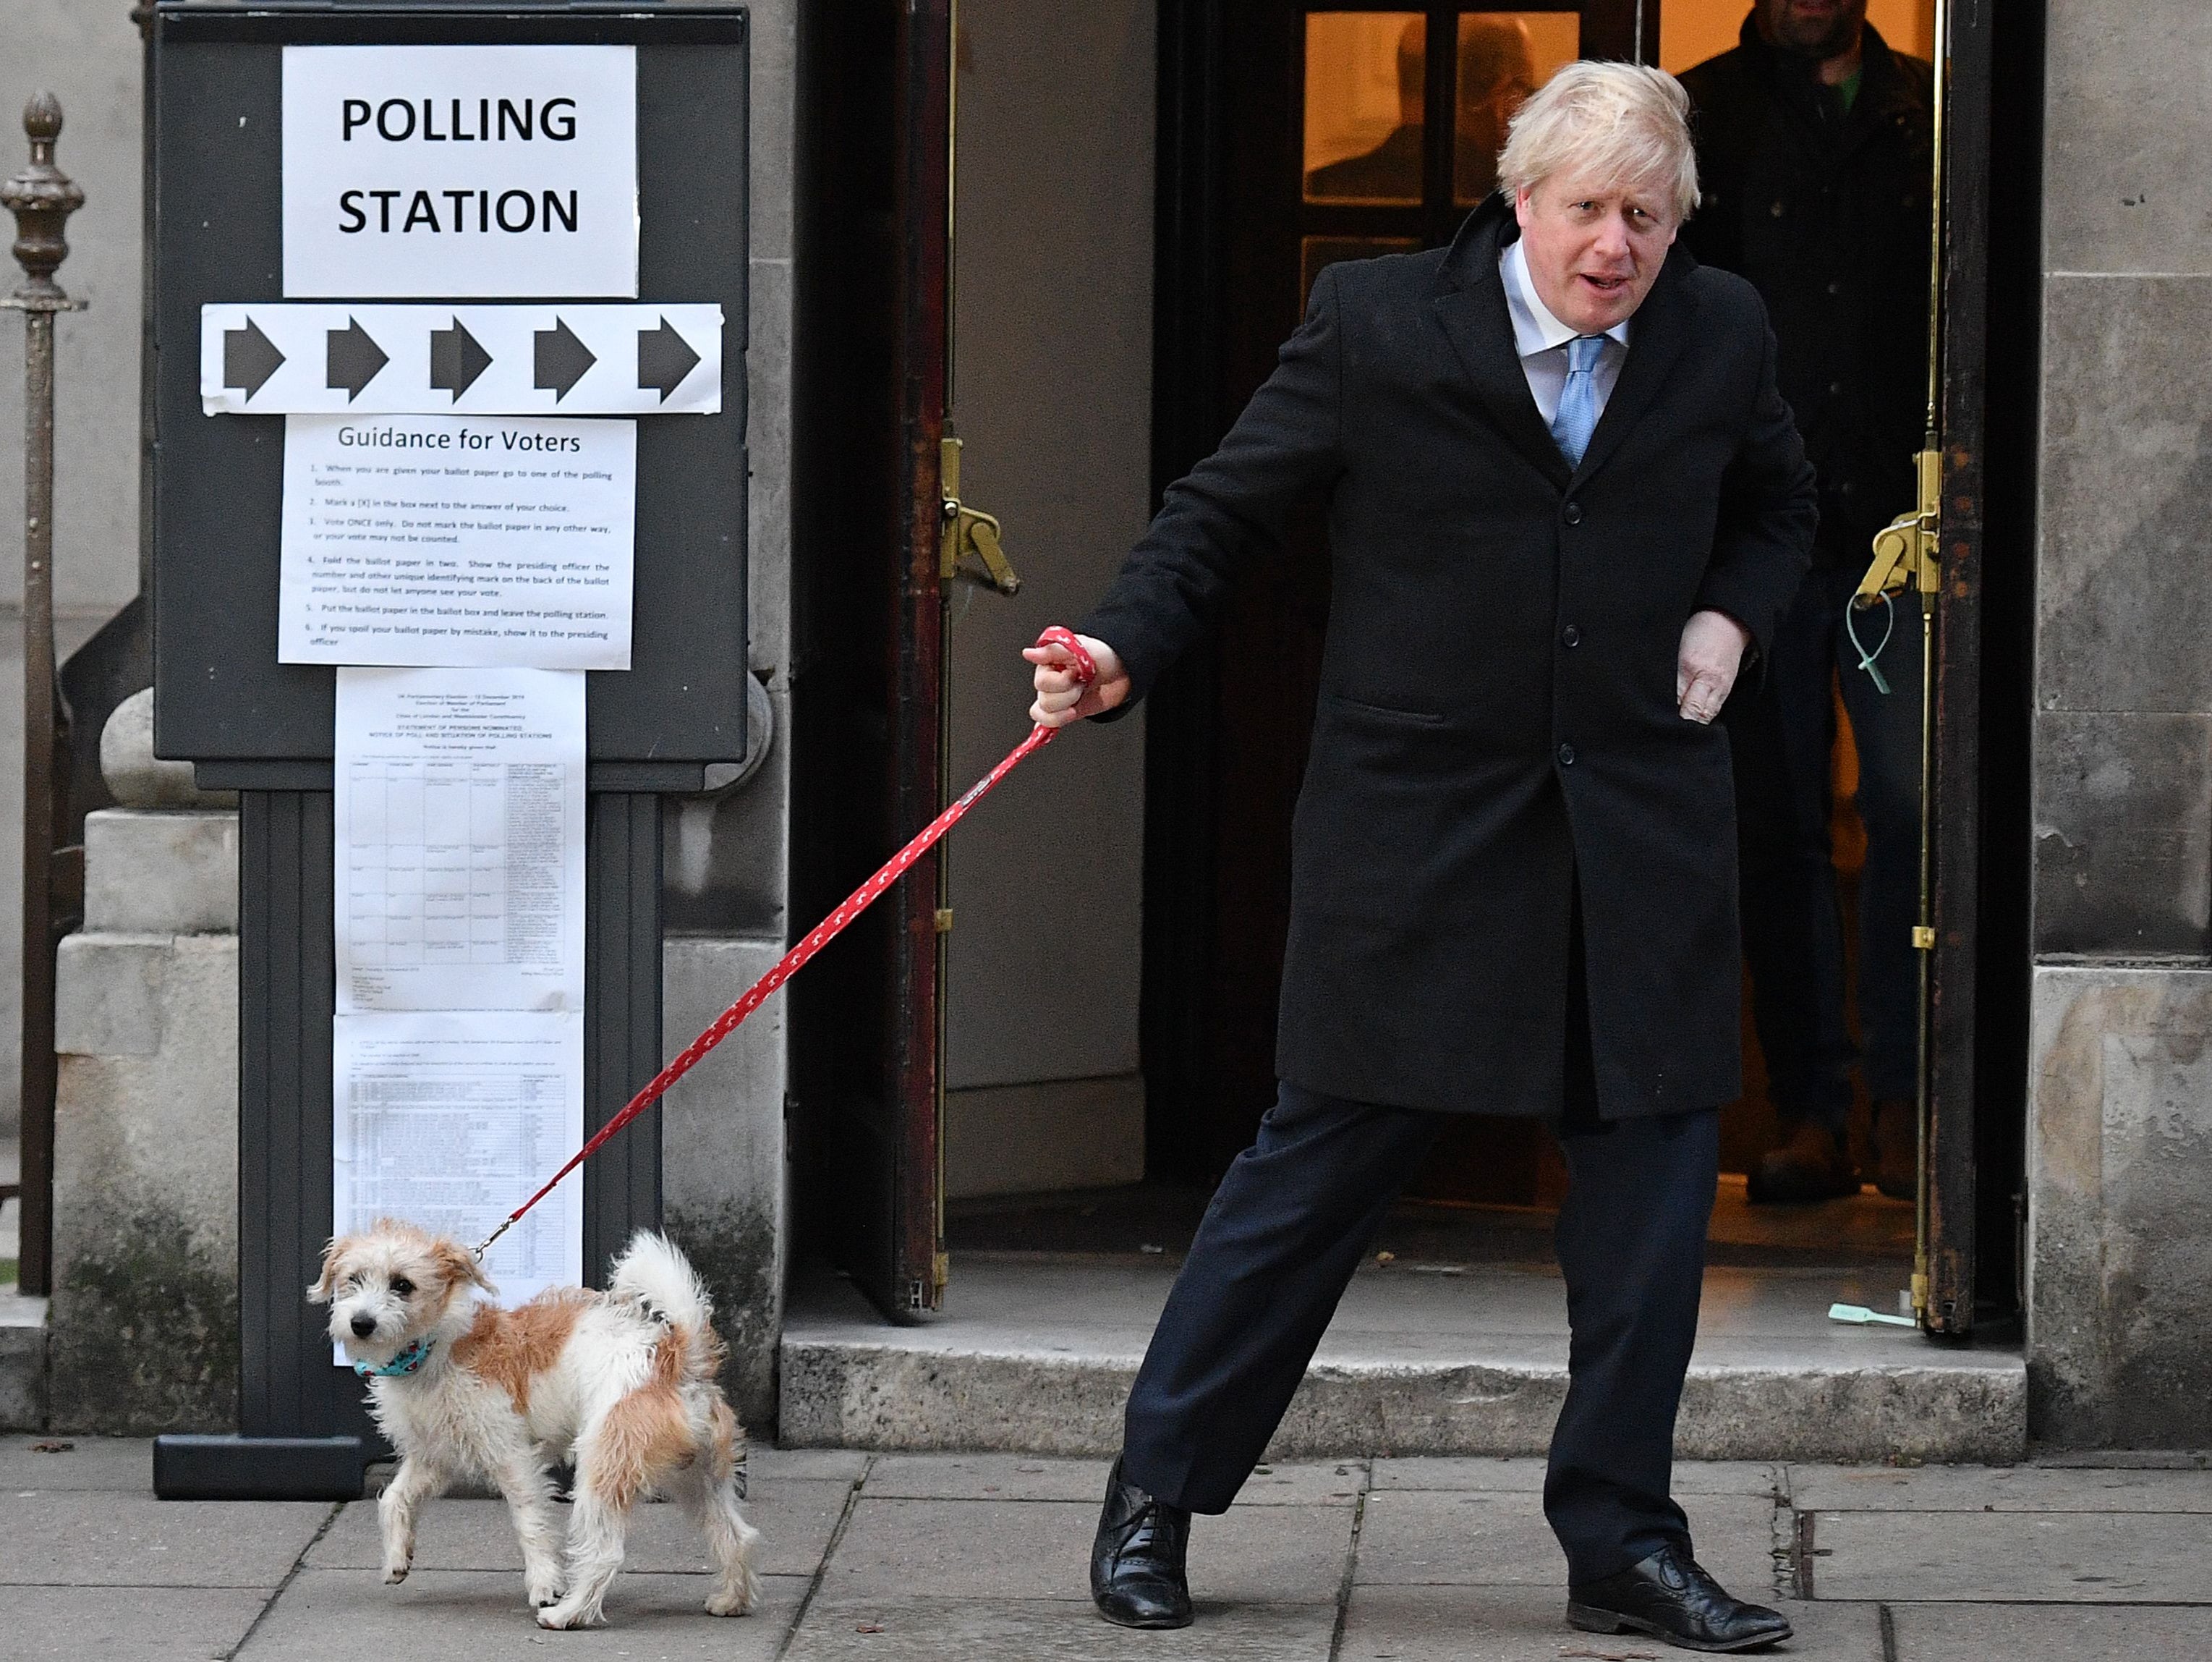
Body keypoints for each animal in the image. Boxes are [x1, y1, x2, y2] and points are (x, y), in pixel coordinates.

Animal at [312, 1213, 760, 1629]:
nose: (361, 1323)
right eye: (353, 1279)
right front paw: (396, 1558)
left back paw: (568, 1614)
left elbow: (530, 1519)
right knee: (735, 1535)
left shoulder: (512, 1457)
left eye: (402, 1285)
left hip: (604, 1468)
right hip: (697, 1479)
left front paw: (545, 1583)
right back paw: (730, 1600)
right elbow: (394, 1498)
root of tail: (676, 1357)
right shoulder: (435, 1457)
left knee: (604, 1553)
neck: (437, 1349)